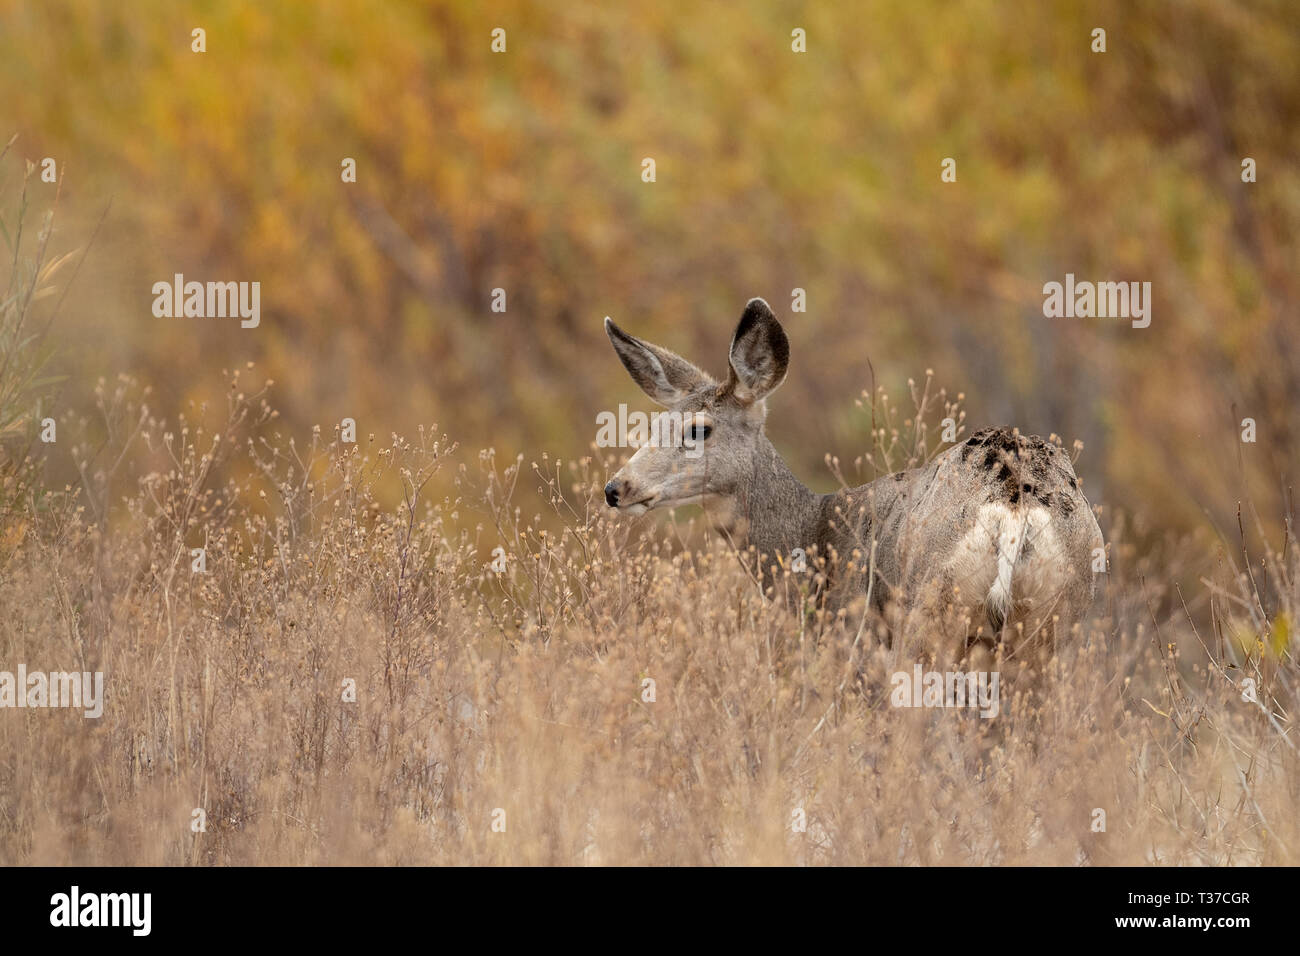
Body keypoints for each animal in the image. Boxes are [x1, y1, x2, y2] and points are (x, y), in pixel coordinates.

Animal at [601, 297, 1104, 668]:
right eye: (654, 424)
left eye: (699, 430)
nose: (616, 488)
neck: (812, 532)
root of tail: (1014, 505)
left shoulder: (852, 634)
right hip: (1059, 623)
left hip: (929, 616)